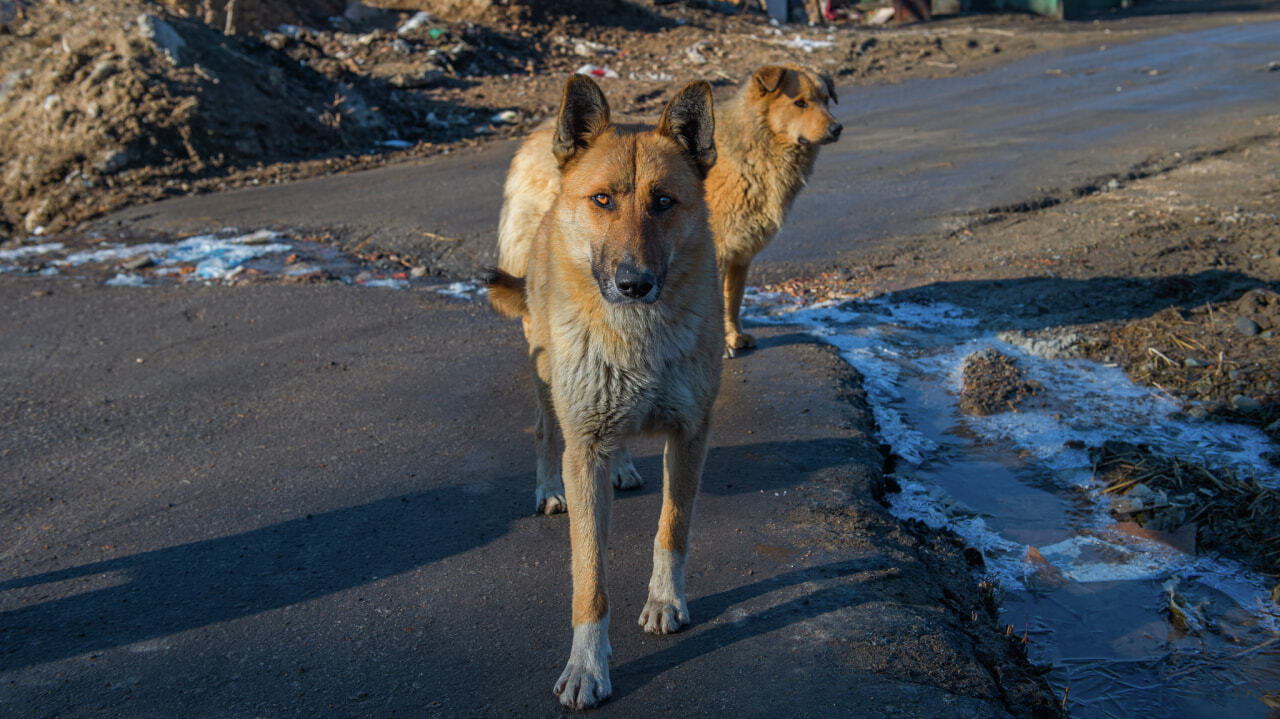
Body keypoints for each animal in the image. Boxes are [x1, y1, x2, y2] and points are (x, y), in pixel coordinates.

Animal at [486, 77, 727, 706]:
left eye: (663, 201)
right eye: (602, 201)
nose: (633, 283)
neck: (636, 337)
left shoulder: (690, 436)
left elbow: (672, 529)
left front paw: (665, 600)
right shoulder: (586, 448)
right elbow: (589, 576)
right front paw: (588, 666)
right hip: (548, 382)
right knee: (546, 433)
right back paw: (549, 486)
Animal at [706, 63, 844, 353]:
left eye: (826, 99)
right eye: (800, 103)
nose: (837, 128)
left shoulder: (741, 254)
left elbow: (733, 300)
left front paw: (735, 336)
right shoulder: (718, 252)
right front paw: (722, 347)